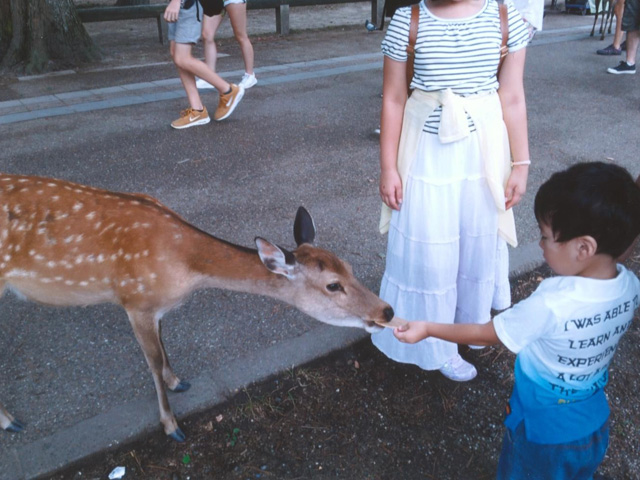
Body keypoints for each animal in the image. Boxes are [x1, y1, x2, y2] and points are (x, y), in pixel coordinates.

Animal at [0, 173, 392, 442]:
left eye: (349, 267)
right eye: (333, 285)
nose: (386, 311)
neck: (185, 269)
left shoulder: (155, 307)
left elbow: (163, 348)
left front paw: (179, 382)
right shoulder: (134, 301)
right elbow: (152, 363)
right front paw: (171, 425)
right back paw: (10, 420)